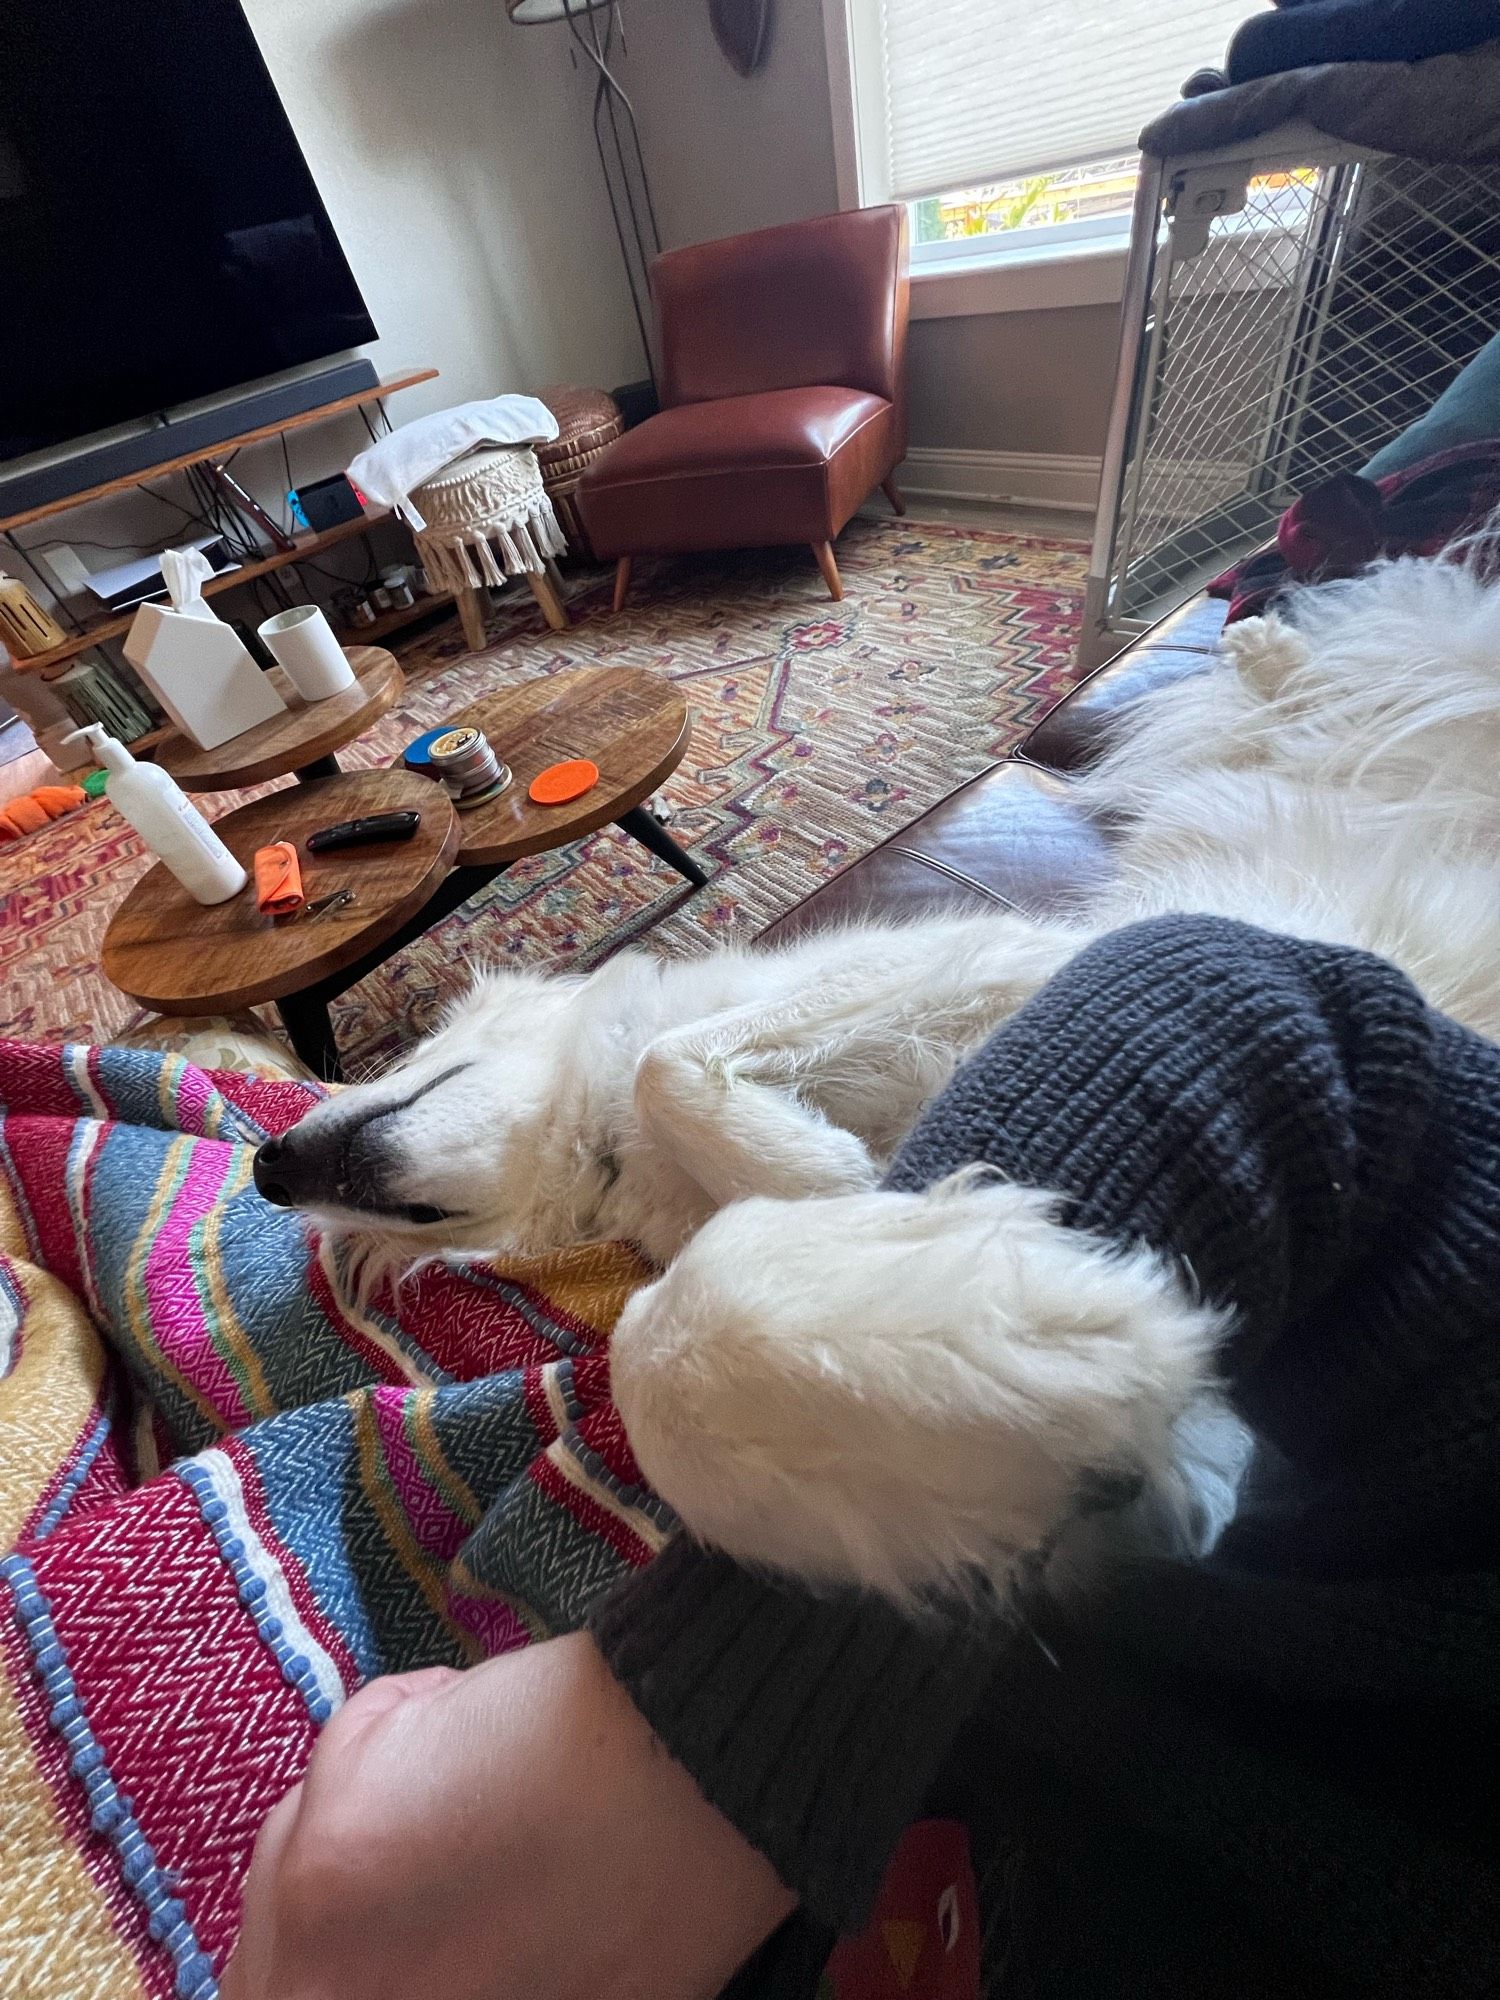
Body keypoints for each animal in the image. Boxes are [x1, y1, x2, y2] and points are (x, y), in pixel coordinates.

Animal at [258, 556, 1500, 1600]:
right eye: (415, 1223)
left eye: (406, 1070)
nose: (269, 1166)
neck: (613, 1157)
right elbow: (663, 1338)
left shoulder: (975, 963)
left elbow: (669, 1068)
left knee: (1382, 664)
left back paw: (1268, 646)